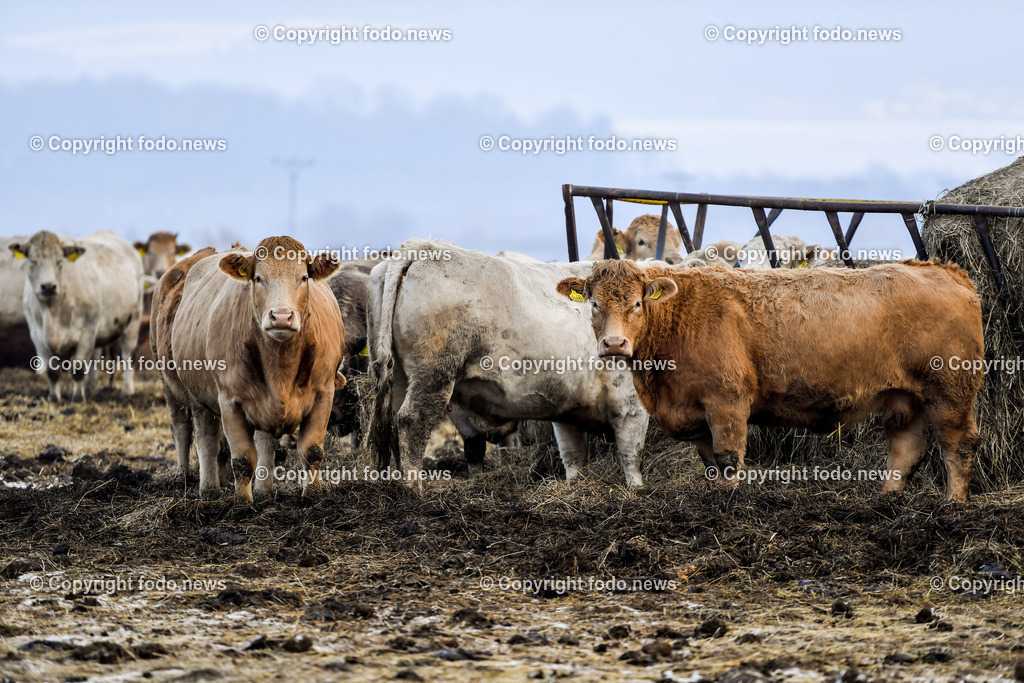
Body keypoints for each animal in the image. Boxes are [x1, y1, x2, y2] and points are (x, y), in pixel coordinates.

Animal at [10, 231, 144, 401]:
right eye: (33, 261)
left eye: (60, 261)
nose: (48, 286)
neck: (52, 311)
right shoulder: (37, 335)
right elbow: (51, 370)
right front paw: (54, 398)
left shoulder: (87, 331)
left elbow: (78, 367)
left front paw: (78, 398)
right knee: (95, 357)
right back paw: (91, 389)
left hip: (133, 319)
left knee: (128, 354)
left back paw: (127, 390)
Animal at [152, 236, 344, 501]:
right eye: (258, 278)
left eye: (304, 277)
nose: (281, 316)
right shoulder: (230, 401)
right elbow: (242, 458)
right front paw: (243, 502)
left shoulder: (323, 393)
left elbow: (312, 450)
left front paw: (313, 495)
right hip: (184, 391)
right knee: (196, 435)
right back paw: (204, 487)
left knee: (262, 442)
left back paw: (263, 491)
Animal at [367, 239, 649, 492]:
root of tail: (422, 247)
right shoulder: (630, 403)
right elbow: (631, 456)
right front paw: (636, 491)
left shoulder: (570, 408)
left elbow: (574, 459)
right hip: (435, 375)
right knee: (412, 422)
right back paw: (413, 491)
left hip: (399, 377)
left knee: (394, 425)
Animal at [556, 258, 984, 501]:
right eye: (594, 304)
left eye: (636, 303)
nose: (614, 343)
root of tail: (942, 270)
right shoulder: (695, 411)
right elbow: (710, 463)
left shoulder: (726, 401)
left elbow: (728, 458)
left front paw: (727, 502)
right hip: (904, 397)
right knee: (906, 448)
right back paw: (887, 499)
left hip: (950, 390)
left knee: (958, 444)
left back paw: (953, 504)